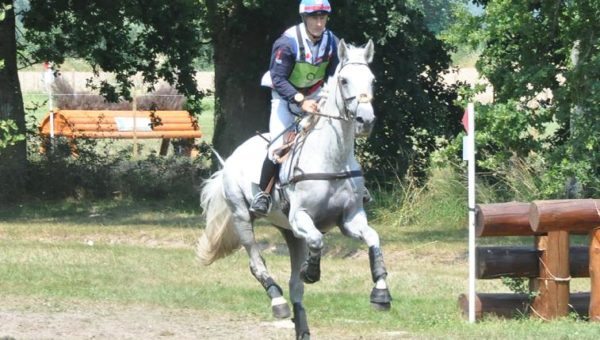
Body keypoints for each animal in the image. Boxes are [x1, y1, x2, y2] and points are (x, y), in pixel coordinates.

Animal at [199, 39, 392, 338]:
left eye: (372, 80)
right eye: (345, 80)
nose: (366, 121)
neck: (332, 156)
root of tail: (230, 160)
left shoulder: (350, 219)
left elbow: (373, 238)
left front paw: (381, 292)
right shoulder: (301, 217)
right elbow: (318, 240)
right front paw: (311, 272)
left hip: (288, 232)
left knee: (295, 287)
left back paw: (301, 326)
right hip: (242, 217)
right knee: (256, 261)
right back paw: (277, 300)